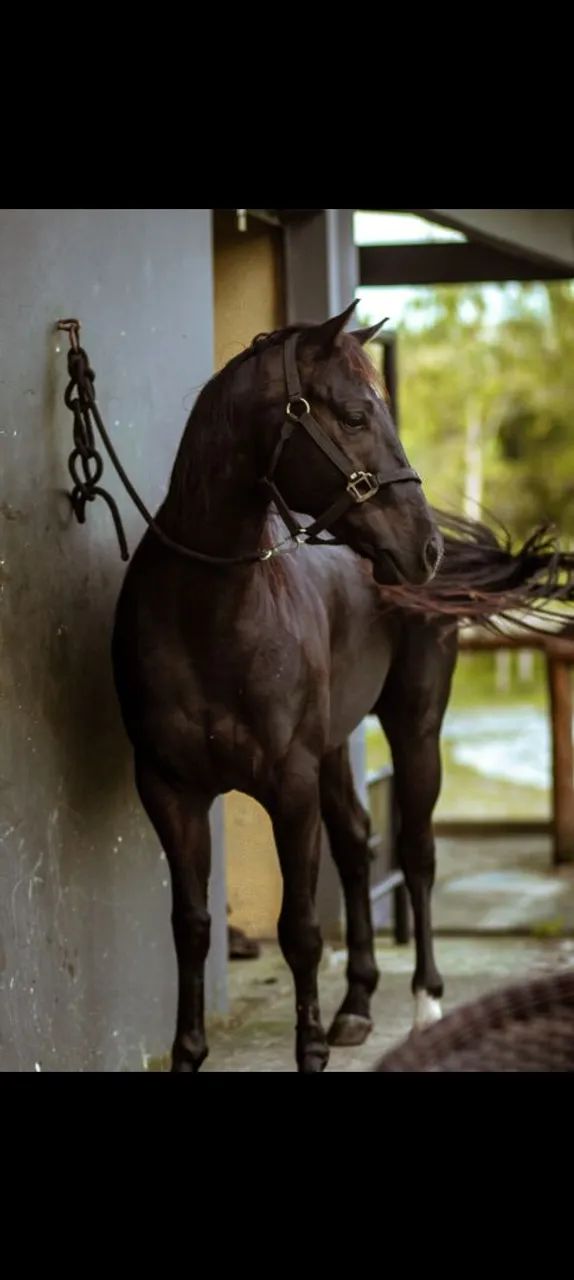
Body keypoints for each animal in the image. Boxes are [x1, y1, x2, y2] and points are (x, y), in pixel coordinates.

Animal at [112, 301, 572, 1072]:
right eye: (356, 415)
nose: (423, 548)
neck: (212, 615)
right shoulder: (170, 790)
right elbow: (191, 926)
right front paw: (190, 1053)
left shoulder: (289, 785)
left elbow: (299, 928)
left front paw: (310, 1050)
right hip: (332, 744)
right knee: (358, 843)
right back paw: (356, 1003)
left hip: (413, 727)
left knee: (415, 852)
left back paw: (424, 1002)